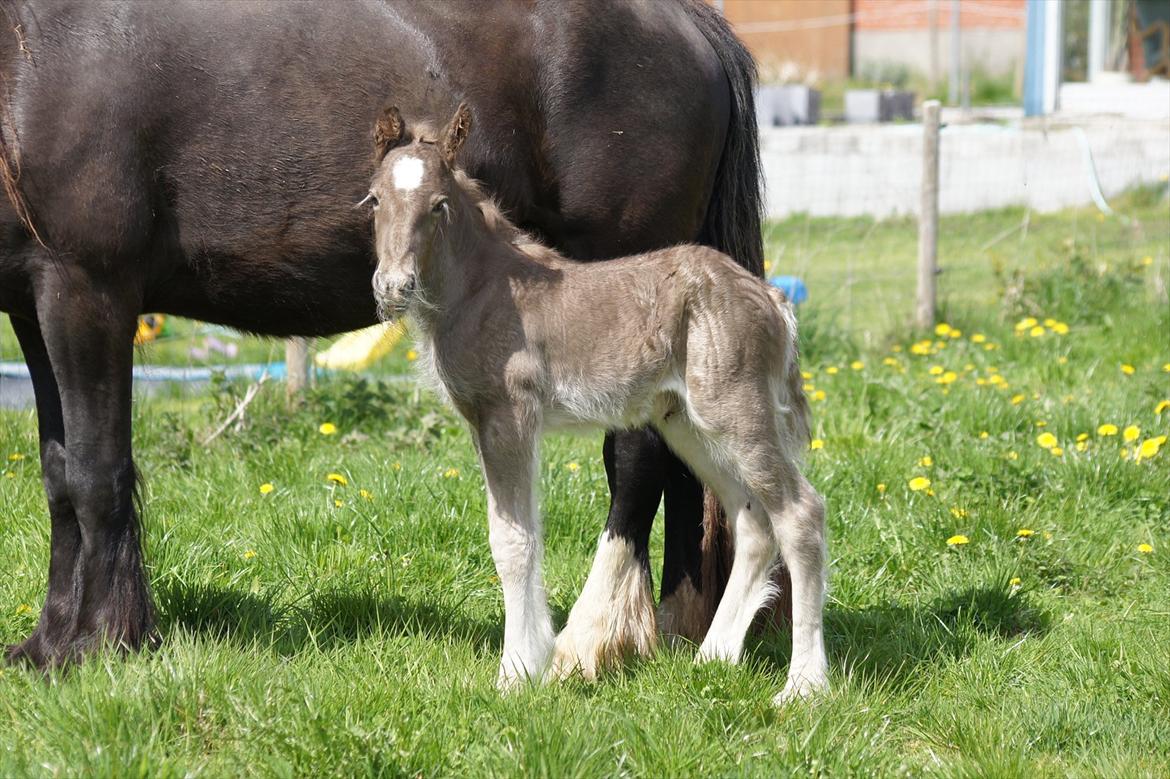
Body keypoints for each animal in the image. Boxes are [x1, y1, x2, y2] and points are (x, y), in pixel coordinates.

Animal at [0, 0, 772, 669]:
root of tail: (688, 20)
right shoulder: (33, 304)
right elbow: (59, 472)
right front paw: (47, 643)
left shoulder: (87, 289)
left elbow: (96, 470)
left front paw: (97, 643)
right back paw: (674, 632)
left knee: (640, 458)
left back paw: (590, 640)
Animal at [367, 100, 833, 701]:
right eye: (374, 200)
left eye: (439, 205)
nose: (392, 287)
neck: (486, 288)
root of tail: (773, 300)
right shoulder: (484, 421)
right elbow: (519, 534)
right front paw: (531, 661)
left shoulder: (508, 416)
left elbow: (513, 541)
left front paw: (516, 671)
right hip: (688, 425)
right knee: (753, 519)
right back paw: (712, 658)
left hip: (736, 412)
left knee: (800, 513)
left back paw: (804, 686)